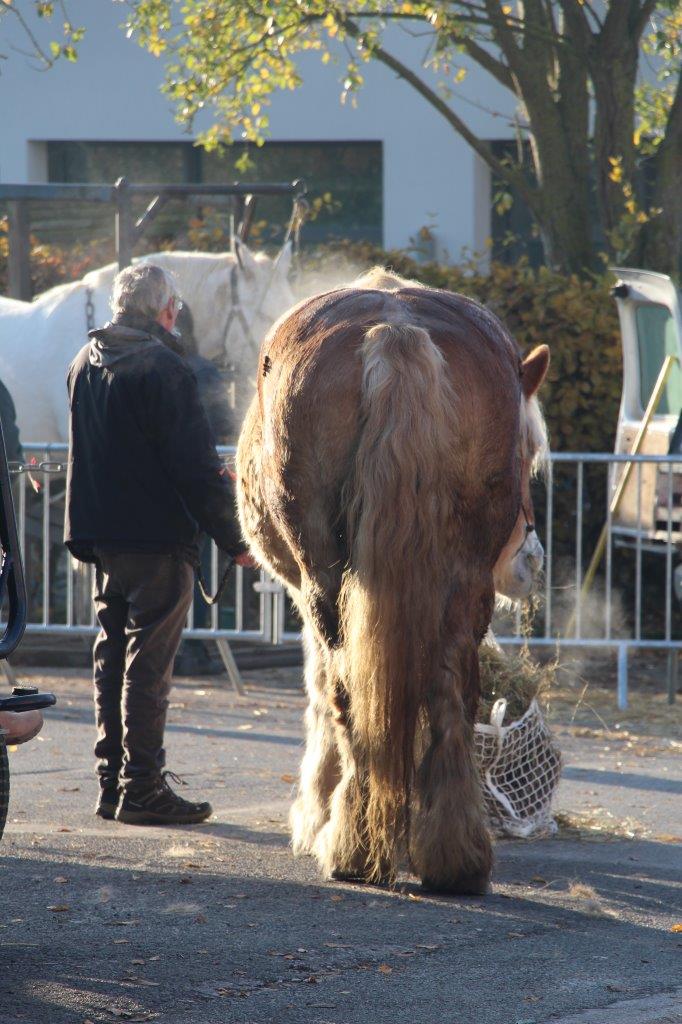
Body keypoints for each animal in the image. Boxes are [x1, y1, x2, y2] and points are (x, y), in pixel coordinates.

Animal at [236, 268, 544, 892]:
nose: (531, 559)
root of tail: (396, 332)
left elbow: (318, 695)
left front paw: (315, 813)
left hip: (324, 582)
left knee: (344, 690)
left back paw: (353, 845)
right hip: (461, 591)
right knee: (452, 693)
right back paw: (454, 855)